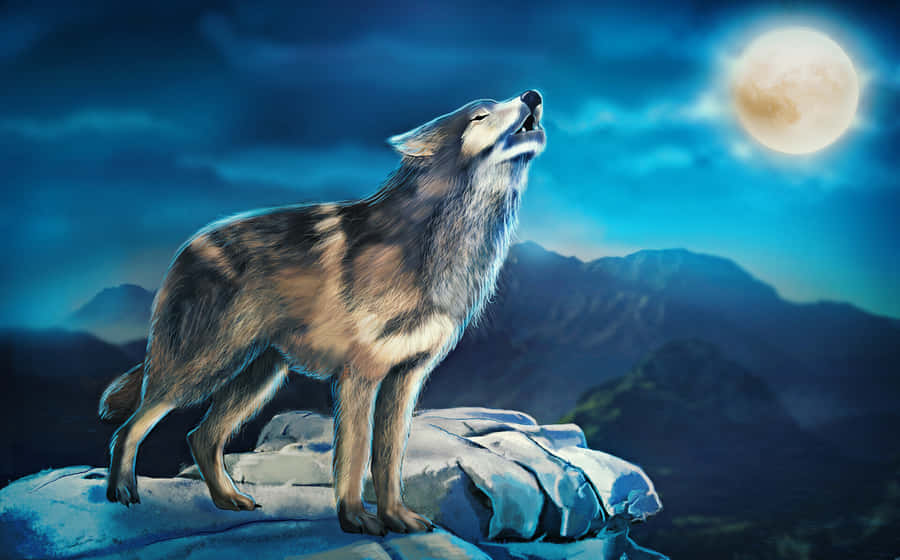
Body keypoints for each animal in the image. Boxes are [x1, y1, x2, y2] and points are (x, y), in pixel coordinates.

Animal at [98, 90, 545, 535]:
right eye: (481, 115)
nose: (533, 95)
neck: (439, 244)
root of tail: (184, 251)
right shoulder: (359, 375)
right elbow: (355, 452)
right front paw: (356, 517)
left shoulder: (405, 377)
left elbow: (389, 458)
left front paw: (397, 516)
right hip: (202, 369)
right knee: (131, 426)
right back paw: (121, 492)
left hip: (259, 377)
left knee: (200, 436)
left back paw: (228, 499)